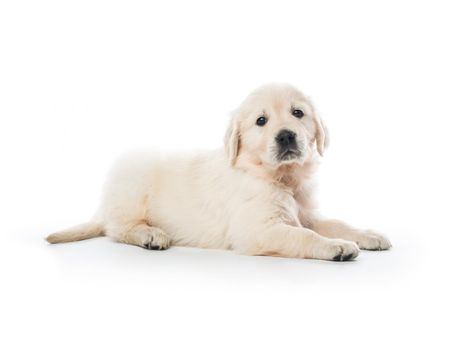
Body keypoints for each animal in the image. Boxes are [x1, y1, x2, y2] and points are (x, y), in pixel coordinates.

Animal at [46, 83, 390, 262]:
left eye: (298, 113)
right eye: (261, 121)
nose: (286, 136)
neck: (281, 176)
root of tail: (103, 206)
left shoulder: (307, 212)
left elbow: (335, 223)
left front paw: (367, 235)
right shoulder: (258, 229)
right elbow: (302, 235)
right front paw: (337, 246)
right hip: (132, 182)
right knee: (117, 228)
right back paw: (150, 234)